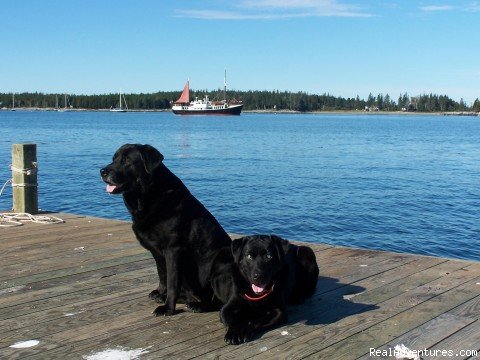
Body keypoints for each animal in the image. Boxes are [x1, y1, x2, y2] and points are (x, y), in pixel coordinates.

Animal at [99, 143, 231, 316]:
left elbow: (172, 282)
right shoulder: (156, 251)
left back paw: (199, 306)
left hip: (221, 262)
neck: (150, 196)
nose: (102, 171)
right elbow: (162, 275)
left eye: (127, 160)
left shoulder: (173, 250)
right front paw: (161, 293)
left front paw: (168, 308)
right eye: (113, 159)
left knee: (222, 301)